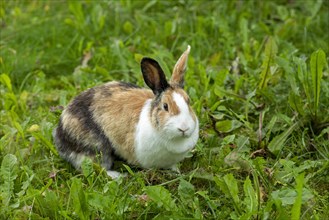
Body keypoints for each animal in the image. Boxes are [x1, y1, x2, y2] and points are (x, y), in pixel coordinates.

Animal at [52, 45, 199, 179]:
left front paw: (176, 171)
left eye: (189, 101)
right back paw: (118, 176)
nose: (184, 128)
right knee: (95, 167)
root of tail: (59, 132)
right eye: (165, 106)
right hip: (95, 148)